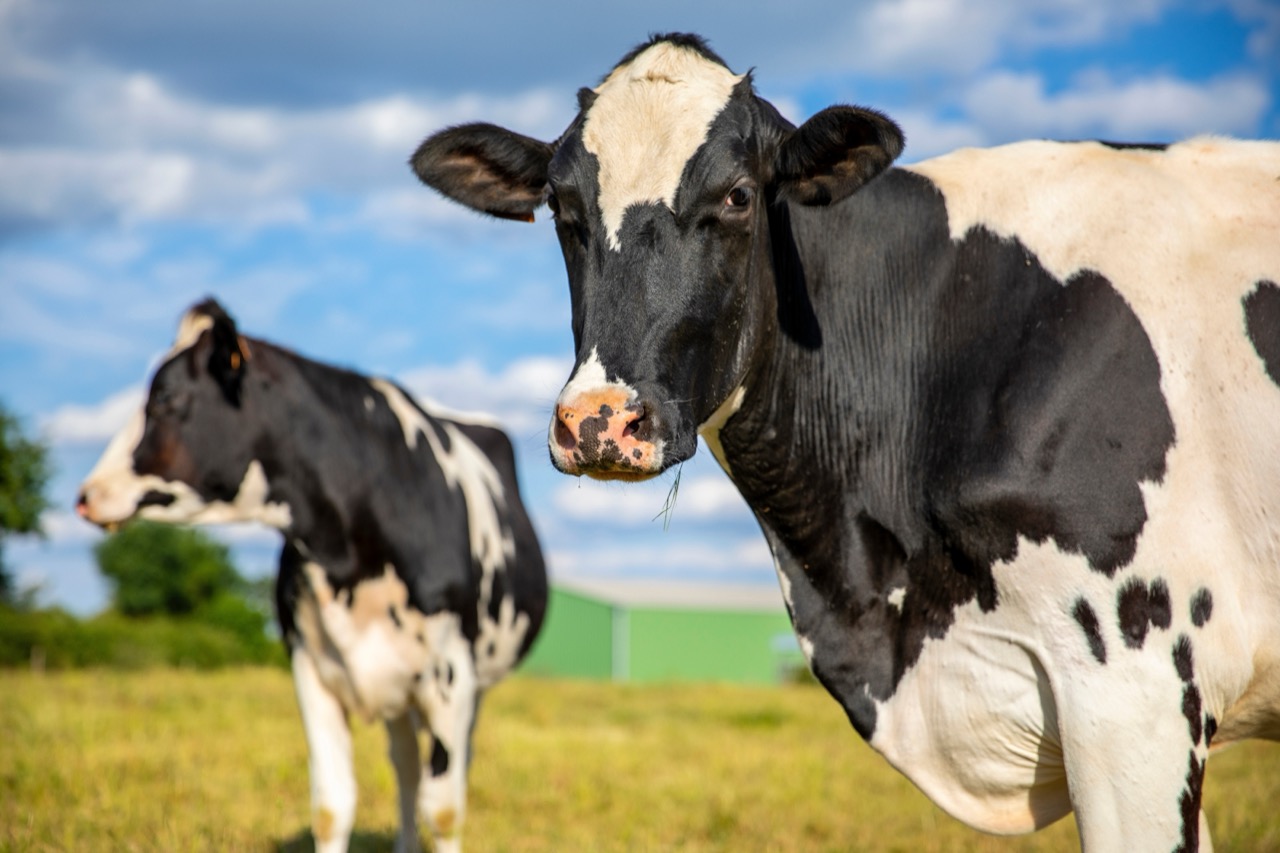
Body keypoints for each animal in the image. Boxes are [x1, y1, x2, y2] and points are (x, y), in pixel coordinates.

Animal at [76, 299, 548, 853]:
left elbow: (446, 810)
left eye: (167, 397)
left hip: (469, 685)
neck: (350, 550)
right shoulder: (311, 667)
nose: (85, 494)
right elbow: (332, 806)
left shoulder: (451, 675)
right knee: (406, 766)